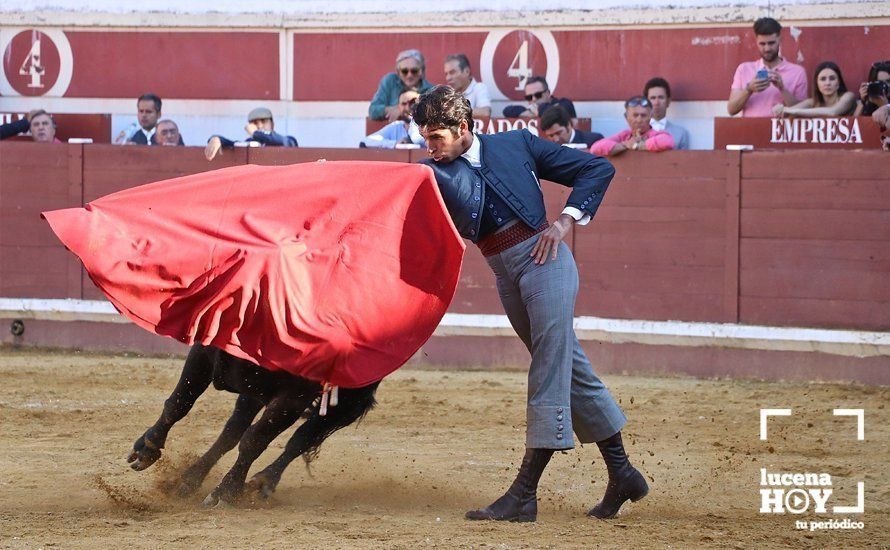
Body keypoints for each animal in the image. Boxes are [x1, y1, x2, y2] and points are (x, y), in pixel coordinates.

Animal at [126, 344, 376, 508]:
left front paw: (226, 492)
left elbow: (255, 440)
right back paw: (188, 480)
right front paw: (147, 448)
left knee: (302, 437)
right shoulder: (205, 350)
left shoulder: (296, 396)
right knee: (233, 430)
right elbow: (179, 403)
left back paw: (264, 481)